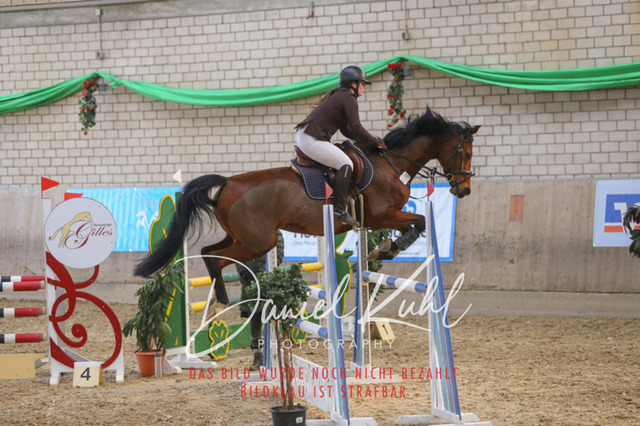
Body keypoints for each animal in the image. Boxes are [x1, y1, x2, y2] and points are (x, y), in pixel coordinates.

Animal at [134, 108, 480, 307]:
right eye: (465, 153)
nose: (464, 190)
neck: (391, 163)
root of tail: (228, 183)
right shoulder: (382, 215)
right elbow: (419, 221)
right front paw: (388, 249)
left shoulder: (379, 219)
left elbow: (413, 224)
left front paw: (383, 250)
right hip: (258, 241)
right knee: (218, 259)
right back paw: (223, 299)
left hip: (242, 236)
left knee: (210, 251)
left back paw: (221, 296)